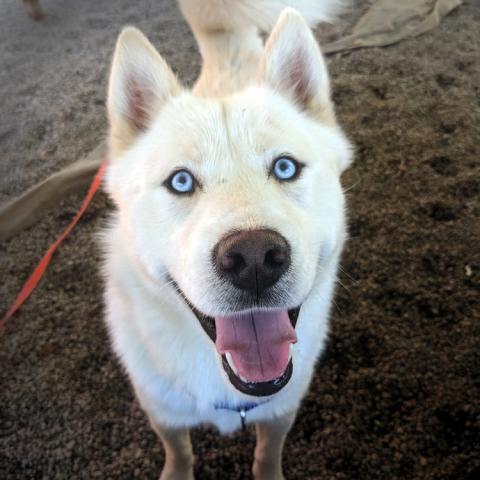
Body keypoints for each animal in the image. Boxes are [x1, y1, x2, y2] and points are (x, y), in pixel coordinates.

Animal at [103, 0, 352, 478]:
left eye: (285, 168)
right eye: (180, 181)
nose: (254, 258)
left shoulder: (280, 412)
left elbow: (266, 453)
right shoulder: (163, 413)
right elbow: (179, 451)